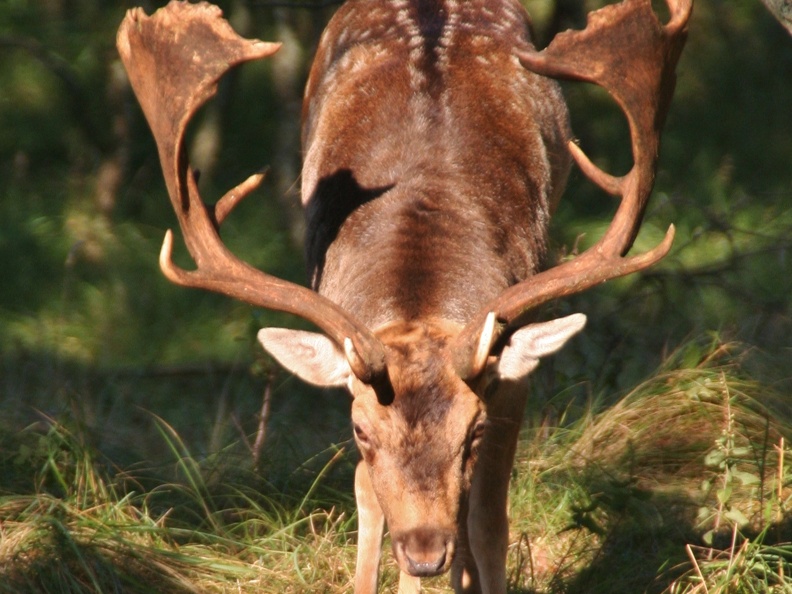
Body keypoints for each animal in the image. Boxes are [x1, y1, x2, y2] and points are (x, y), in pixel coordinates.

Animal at [116, 0, 688, 588]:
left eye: (474, 430)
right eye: (361, 430)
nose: (425, 552)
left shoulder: (509, 378)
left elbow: (488, 522)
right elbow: (370, 503)